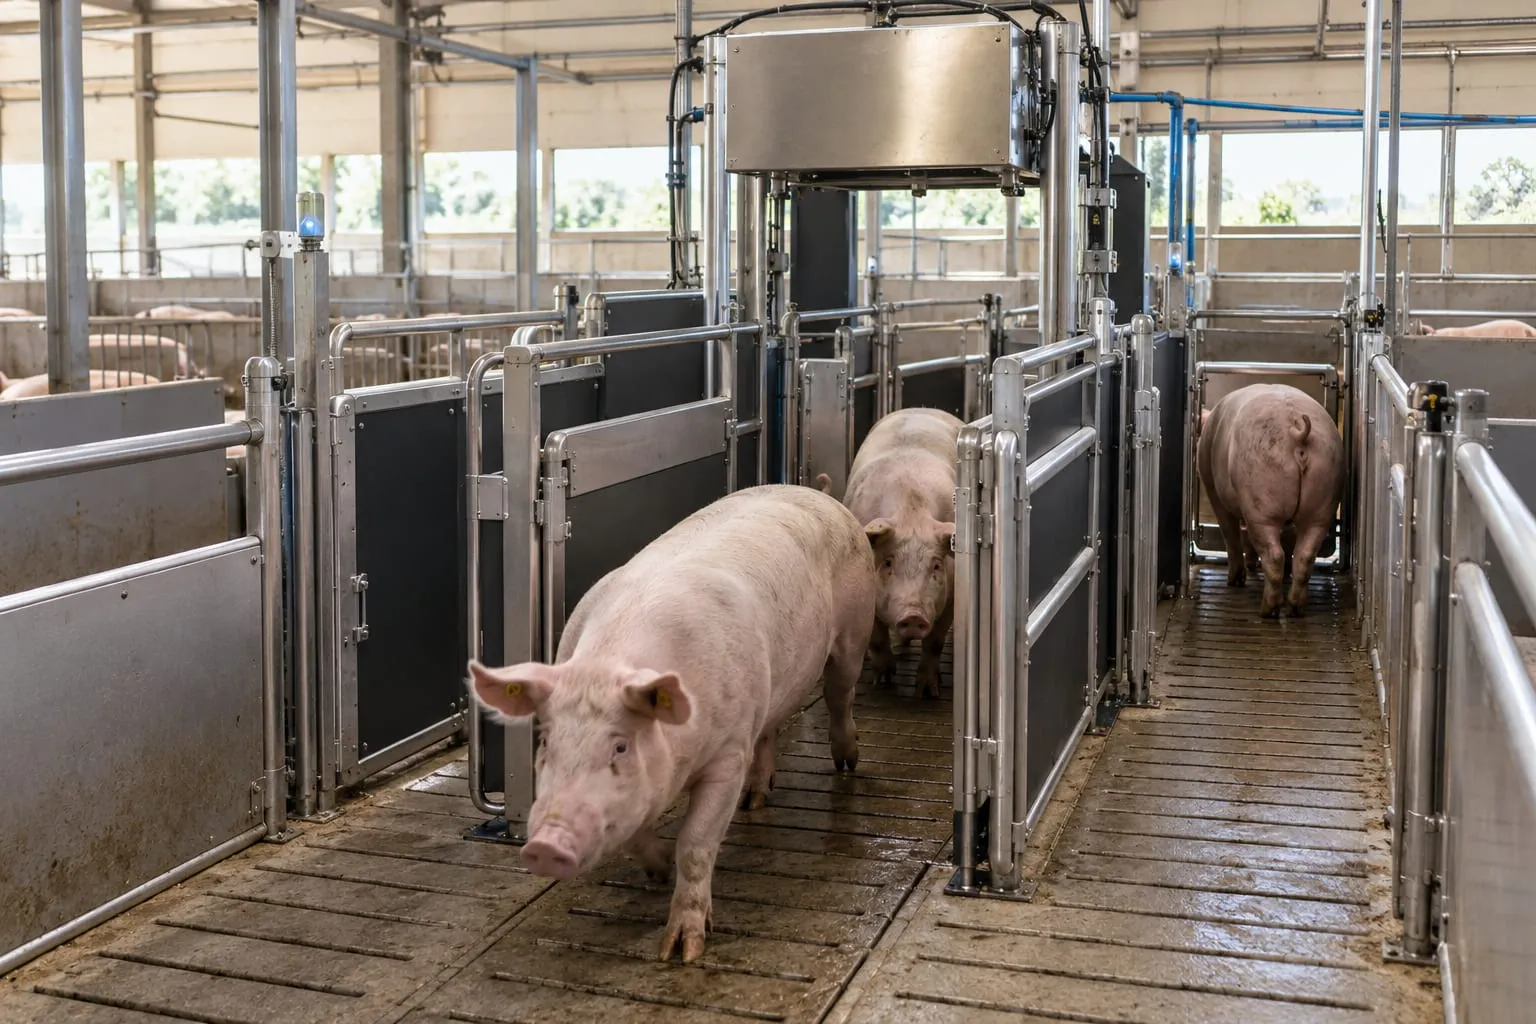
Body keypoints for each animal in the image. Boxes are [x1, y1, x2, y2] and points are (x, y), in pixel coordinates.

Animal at [468, 484, 876, 963]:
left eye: (621, 746)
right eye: (547, 741)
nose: (545, 845)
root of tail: (817, 493)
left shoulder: (728, 753)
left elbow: (696, 844)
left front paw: (680, 952)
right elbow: (634, 836)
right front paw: (659, 870)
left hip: (854, 632)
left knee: (839, 696)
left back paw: (846, 763)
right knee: (770, 730)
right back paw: (755, 801)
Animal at [842, 408, 962, 699]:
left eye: (936, 565)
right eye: (887, 562)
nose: (913, 615)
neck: (911, 513)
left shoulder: (952, 595)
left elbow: (934, 642)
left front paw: (928, 693)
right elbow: (876, 638)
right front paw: (882, 681)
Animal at [1197, 383, 1343, 618]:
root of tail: (1296, 430)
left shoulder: (1213, 488)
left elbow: (1230, 532)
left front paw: (1236, 579)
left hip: (1261, 498)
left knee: (1273, 553)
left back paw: (1268, 609)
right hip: (1325, 494)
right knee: (1305, 554)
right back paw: (1295, 608)